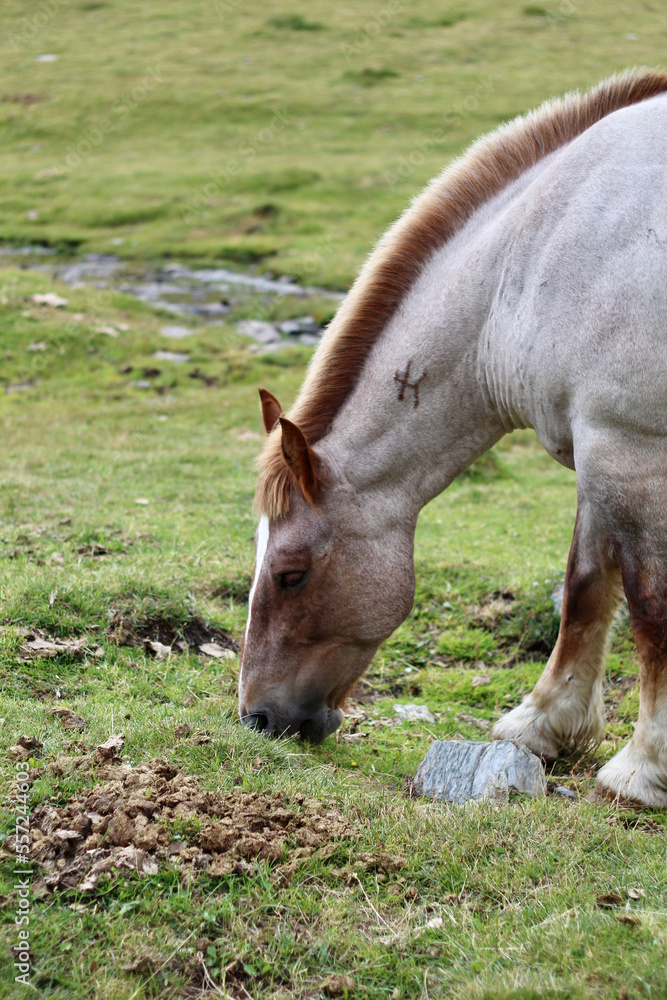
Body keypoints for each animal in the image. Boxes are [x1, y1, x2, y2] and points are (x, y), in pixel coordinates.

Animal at [239, 70, 667, 808]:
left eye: (291, 574)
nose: (257, 718)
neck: (547, 251)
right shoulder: (594, 449)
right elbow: (585, 584)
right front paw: (543, 725)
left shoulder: (629, 450)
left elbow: (648, 607)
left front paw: (642, 769)